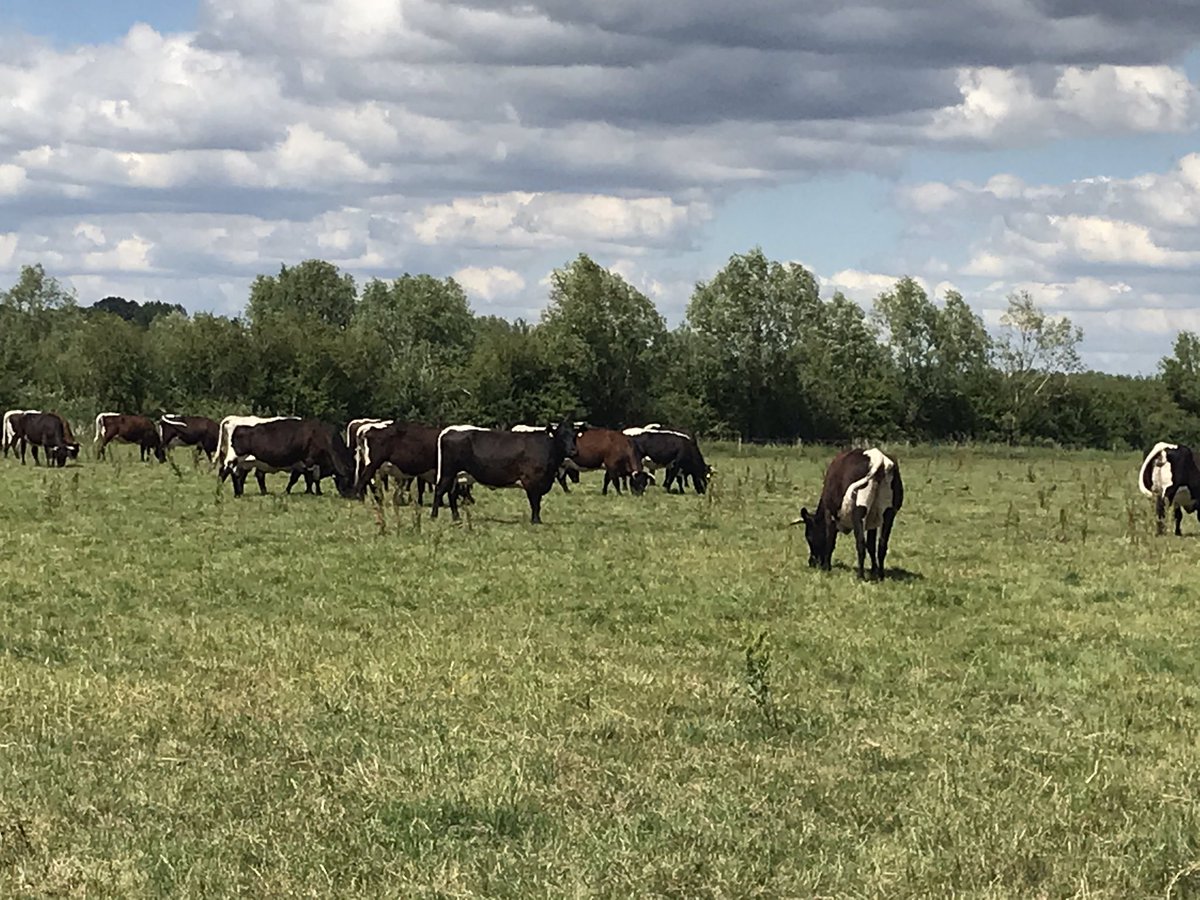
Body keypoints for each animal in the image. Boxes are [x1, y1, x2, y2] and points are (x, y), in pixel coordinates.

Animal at [217, 416, 354, 497]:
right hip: (233, 457)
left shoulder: (304, 464)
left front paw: (315, 492)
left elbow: (308, 478)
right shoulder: (308, 461)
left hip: (242, 461)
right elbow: (308, 478)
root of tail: (233, 419)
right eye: (350, 480)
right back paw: (220, 491)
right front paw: (310, 492)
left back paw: (239, 493)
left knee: (236, 474)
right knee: (225, 472)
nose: (351, 495)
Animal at [432, 420, 580, 524]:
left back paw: (456, 517)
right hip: (447, 472)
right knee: (439, 490)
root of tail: (449, 430)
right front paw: (536, 521)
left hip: (456, 475)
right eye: (561, 436)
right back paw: (434, 515)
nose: (574, 451)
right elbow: (535, 502)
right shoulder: (531, 480)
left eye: (574, 436)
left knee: (451, 493)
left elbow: (537, 502)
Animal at [792, 447, 903, 580]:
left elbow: (830, 540)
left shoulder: (830, 514)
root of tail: (878, 458)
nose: (812, 562)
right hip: (889, 513)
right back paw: (881, 575)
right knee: (882, 544)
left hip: (859, 511)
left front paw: (826, 567)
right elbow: (871, 545)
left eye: (808, 536)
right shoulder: (873, 522)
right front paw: (874, 570)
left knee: (860, 543)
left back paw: (860, 575)